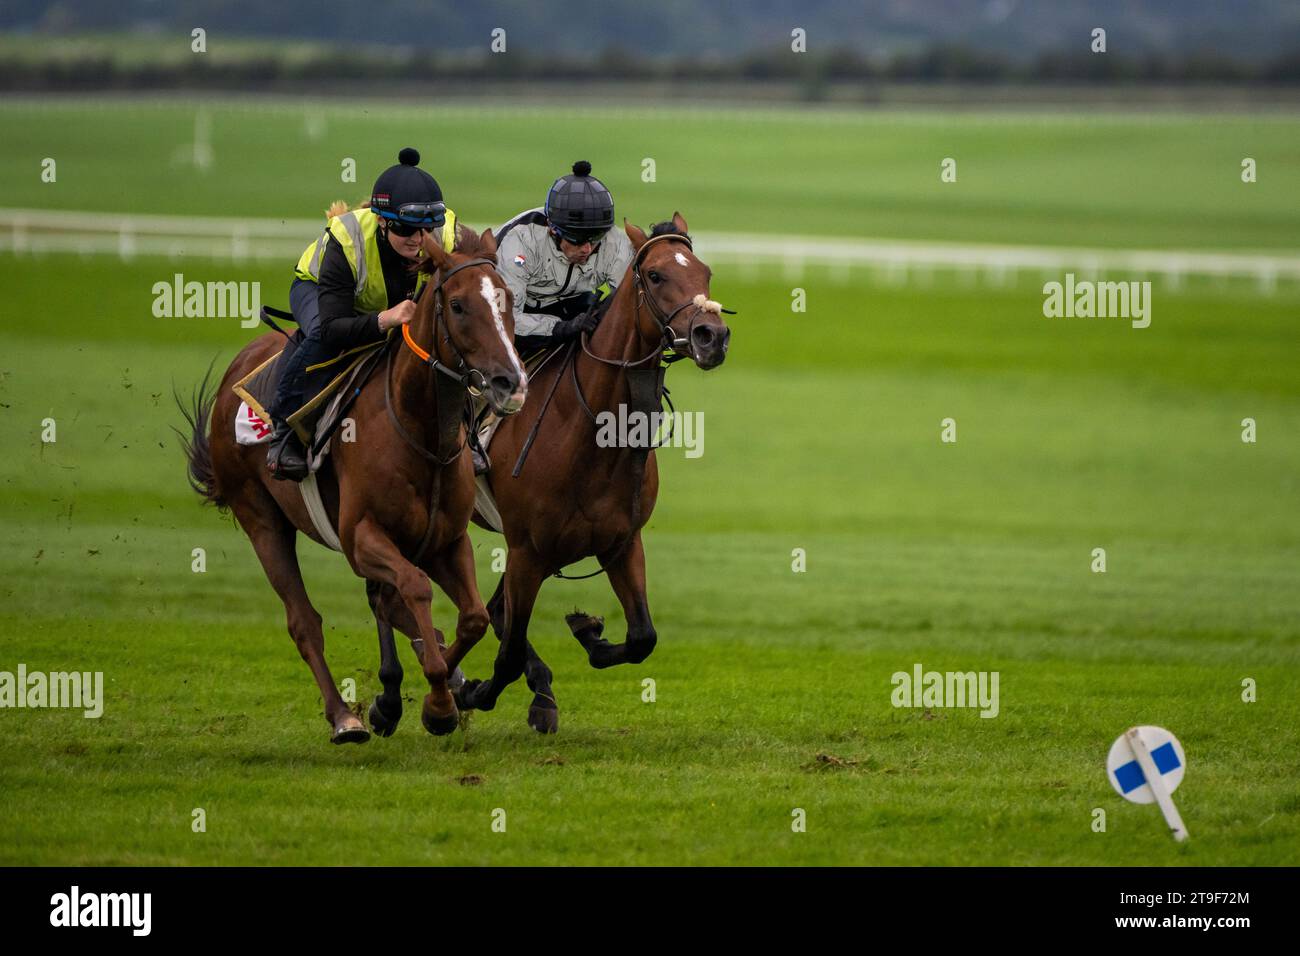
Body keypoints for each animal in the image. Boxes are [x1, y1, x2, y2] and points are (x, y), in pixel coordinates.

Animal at [178, 227, 527, 743]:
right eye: (459, 305)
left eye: (508, 300)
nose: (511, 383)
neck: (420, 430)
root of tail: (235, 372)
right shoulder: (361, 535)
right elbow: (415, 588)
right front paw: (438, 703)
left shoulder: (446, 540)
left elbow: (472, 618)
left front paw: (438, 692)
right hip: (261, 520)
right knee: (304, 621)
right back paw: (344, 717)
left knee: (384, 602)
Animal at [454, 213, 733, 728]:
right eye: (656, 275)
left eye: (705, 272)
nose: (713, 336)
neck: (588, 435)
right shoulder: (527, 550)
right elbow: (507, 652)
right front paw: (472, 692)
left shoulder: (620, 542)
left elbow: (643, 638)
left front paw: (589, 632)